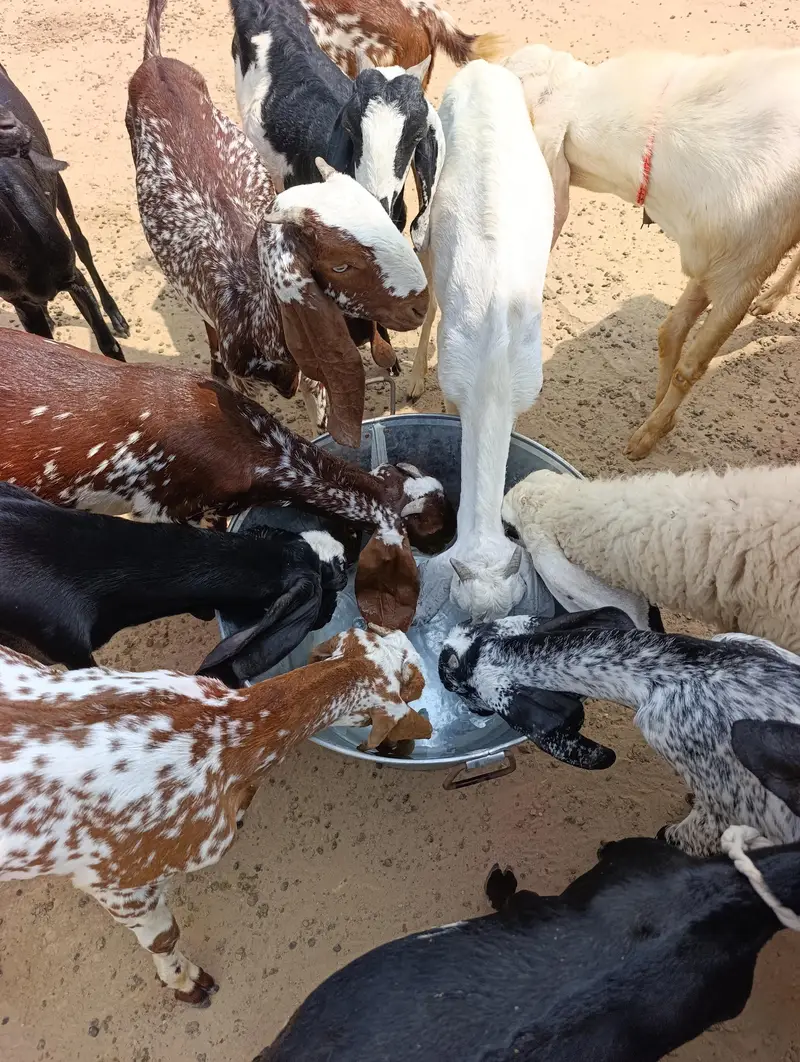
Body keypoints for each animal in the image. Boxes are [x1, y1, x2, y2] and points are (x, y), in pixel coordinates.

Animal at [0, 63, 128, 359]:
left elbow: (109, 347)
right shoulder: (23, 303)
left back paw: (116, 315)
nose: (16, 130)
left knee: (80, 242)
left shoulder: (73, 278)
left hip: (58, 184)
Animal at [503, 45, 800, 459]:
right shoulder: (708, 262)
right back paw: (771, 300)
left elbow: (690, 368)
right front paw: (662, 418)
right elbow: (670, 333)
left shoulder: (742, 277)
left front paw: (646, 437)